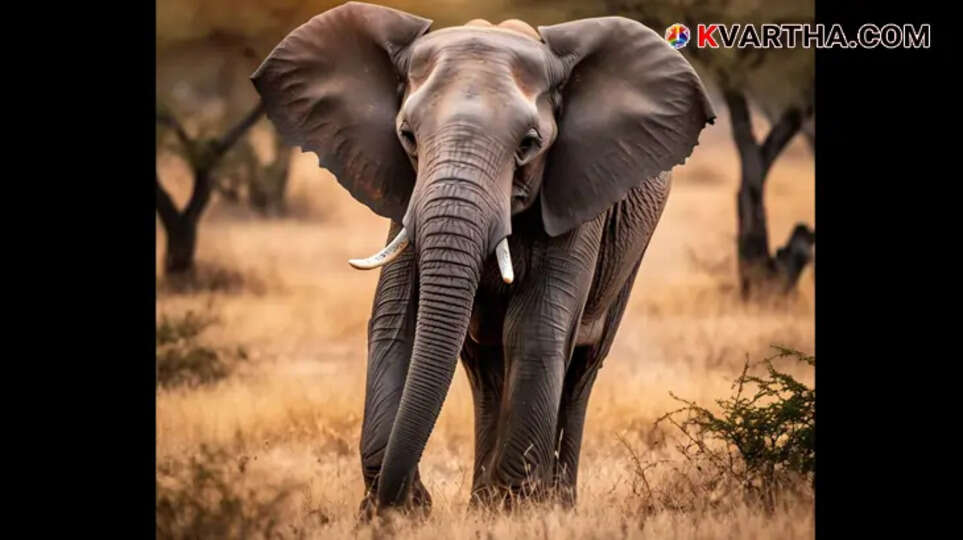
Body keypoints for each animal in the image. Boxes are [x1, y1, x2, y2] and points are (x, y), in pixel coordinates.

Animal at [251, 1, 715, 516]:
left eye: (529, 144)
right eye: (407, 136)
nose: (415, 496)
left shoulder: (578, 194)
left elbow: (535, 327)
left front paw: (514, 510)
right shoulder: (405, 197)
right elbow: (396, 321)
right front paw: (398, 513)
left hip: (630, 251)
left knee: (581, 366)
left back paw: (555, 504)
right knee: (484, 368)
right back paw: (482, 500)